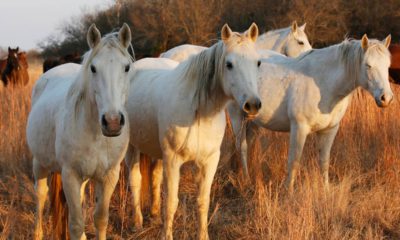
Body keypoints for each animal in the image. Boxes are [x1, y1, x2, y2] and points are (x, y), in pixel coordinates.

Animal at [26, 23, 134, 239]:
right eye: (93, 68)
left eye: (126, 67)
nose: (112, 122)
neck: (96, 136)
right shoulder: (70, 175)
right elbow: (75, 224)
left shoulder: (109, 176)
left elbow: (100, 219)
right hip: (40, 164)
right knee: (40, 196)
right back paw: (37, 233)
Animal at [126, 23, 262, 240]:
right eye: (229, 64)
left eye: (257, 62)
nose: (253, 105)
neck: (199, 112)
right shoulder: (173, 160)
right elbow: (171, 203)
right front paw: (166, 235)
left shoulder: (209, 161)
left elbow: (203, 202)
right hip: (132, 147)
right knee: (135, 180)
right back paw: (137, 223)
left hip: (157, 152)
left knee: (154, 176)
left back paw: (154, 216)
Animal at [230, 34, 392, 191]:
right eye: (368, 65)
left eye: (387, 66)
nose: (386, 98)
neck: (322, 83)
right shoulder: (299, 128)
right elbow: (294, 162)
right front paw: (288, 192)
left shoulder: (330, 130)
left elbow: (324, 161)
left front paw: (326, 191)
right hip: (237, 117)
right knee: (242, 147)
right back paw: (246, 181)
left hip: (253, 121)